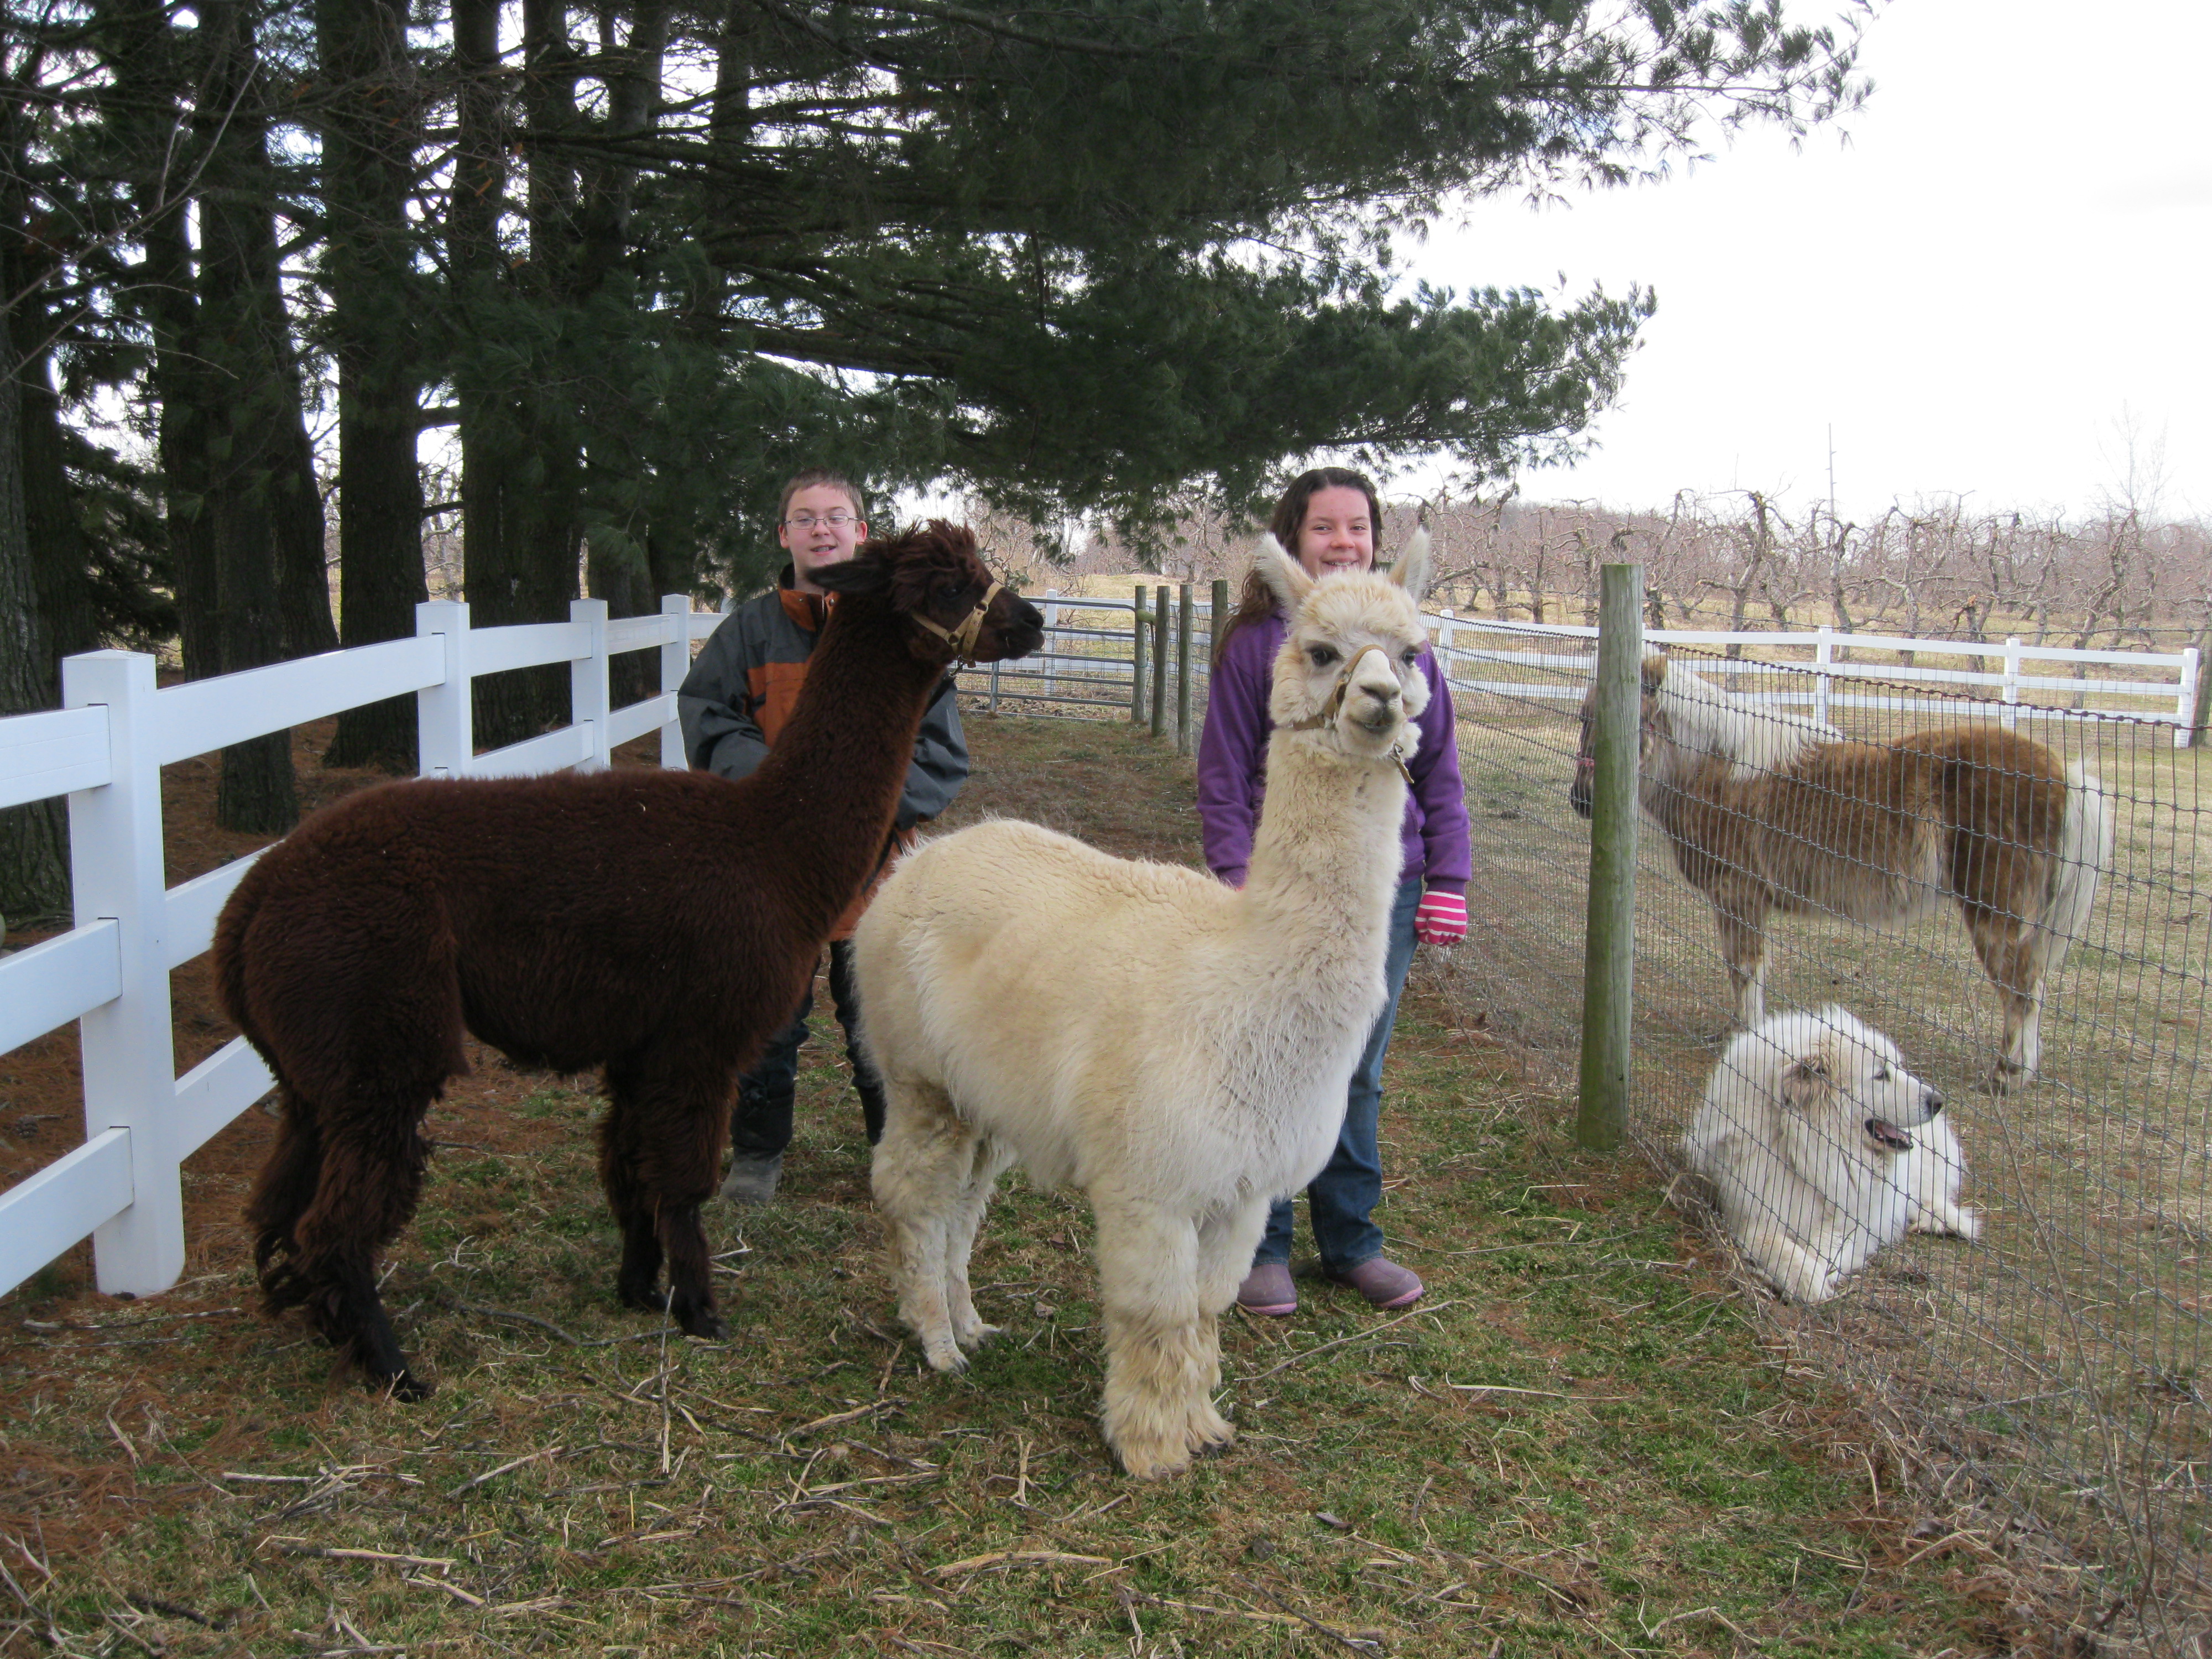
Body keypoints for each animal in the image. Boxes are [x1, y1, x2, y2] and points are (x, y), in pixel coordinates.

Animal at [1681, 1009, 1982, 1310]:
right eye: (1881, 1075)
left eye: (1895, 1068)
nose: (1939, 1101)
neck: (1803, 1147)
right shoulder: (1751, 1218)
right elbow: (1780, 1247)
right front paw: (1804, 1276)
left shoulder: (1853, 1221)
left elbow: (1825, 1248)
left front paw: (1811, 1274)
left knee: (1928, 1195)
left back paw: (1943, 1221)